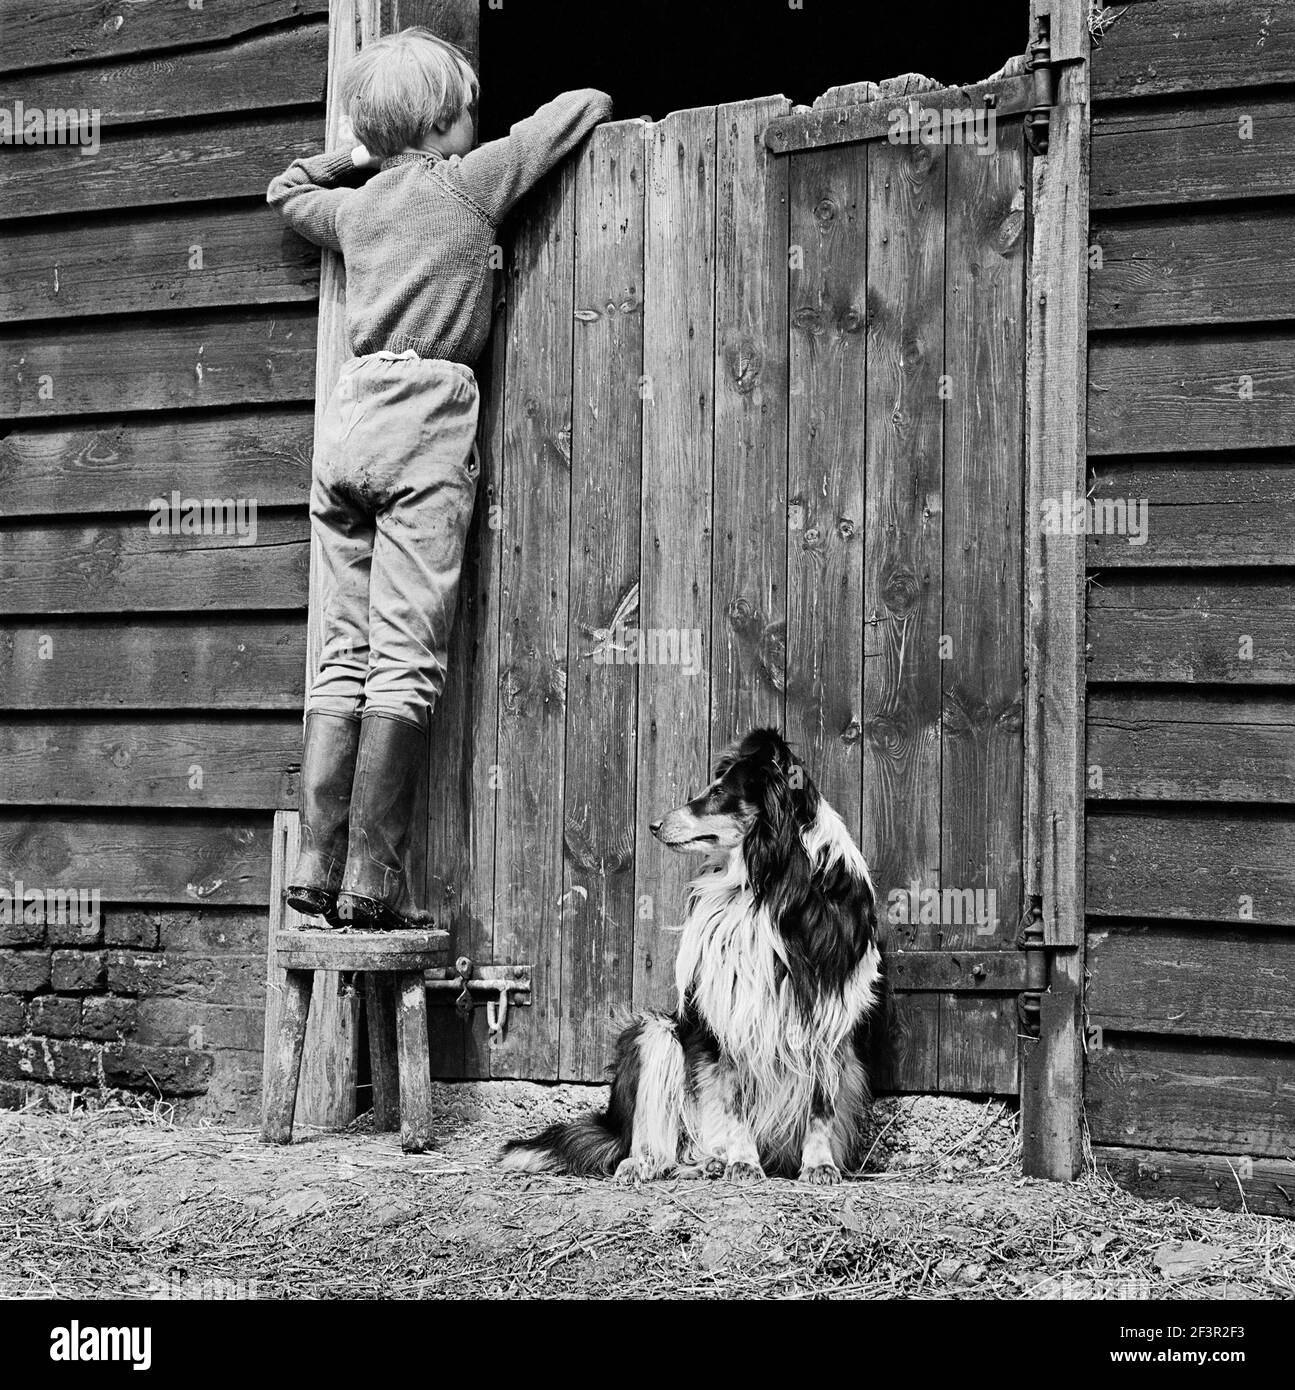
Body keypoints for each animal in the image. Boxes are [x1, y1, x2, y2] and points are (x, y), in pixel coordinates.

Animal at [500, 728, 883, 1184]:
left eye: (718, 792)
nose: (653, 825)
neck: (772, 883)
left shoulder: (829, 1015)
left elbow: (821, 1106)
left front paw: (820, 1165)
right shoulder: (730, 1013)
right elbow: (735, 1099)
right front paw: (742, 1160)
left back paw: (710, 1162)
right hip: (653, 1034)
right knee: (656, 1141)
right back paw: (663, 1162)